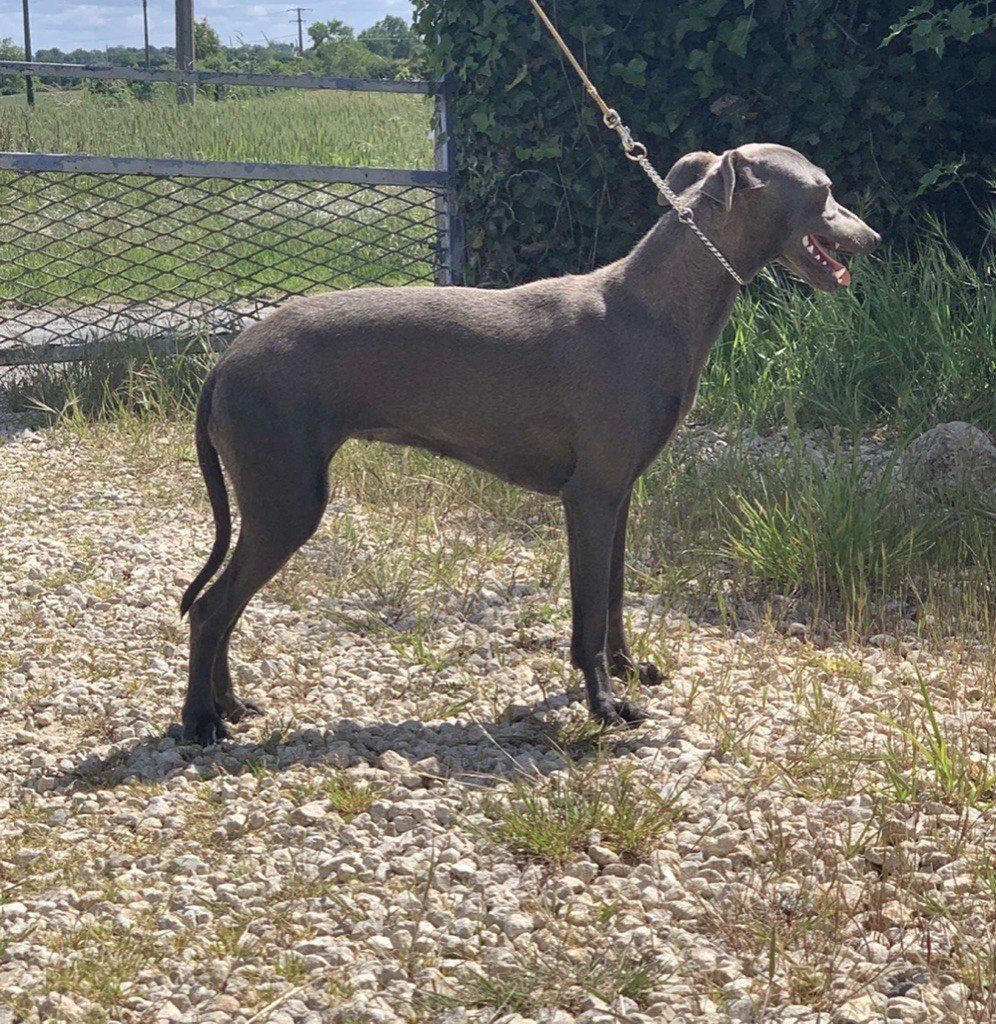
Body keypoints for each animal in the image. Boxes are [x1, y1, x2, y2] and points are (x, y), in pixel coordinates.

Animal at [179, 144, 880, 741]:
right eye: (825, 191)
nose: (873, 238)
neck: (653, 306)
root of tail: (228, 358)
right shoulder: (589, 496)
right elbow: (588, 613)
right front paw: (605, 704)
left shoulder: (620, 494)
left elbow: (613, 598)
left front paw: (628, 671)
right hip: (287, 500)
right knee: (211, 609)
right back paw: (201, 721)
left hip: (274, 501)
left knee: (224, 608)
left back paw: (229, 704)